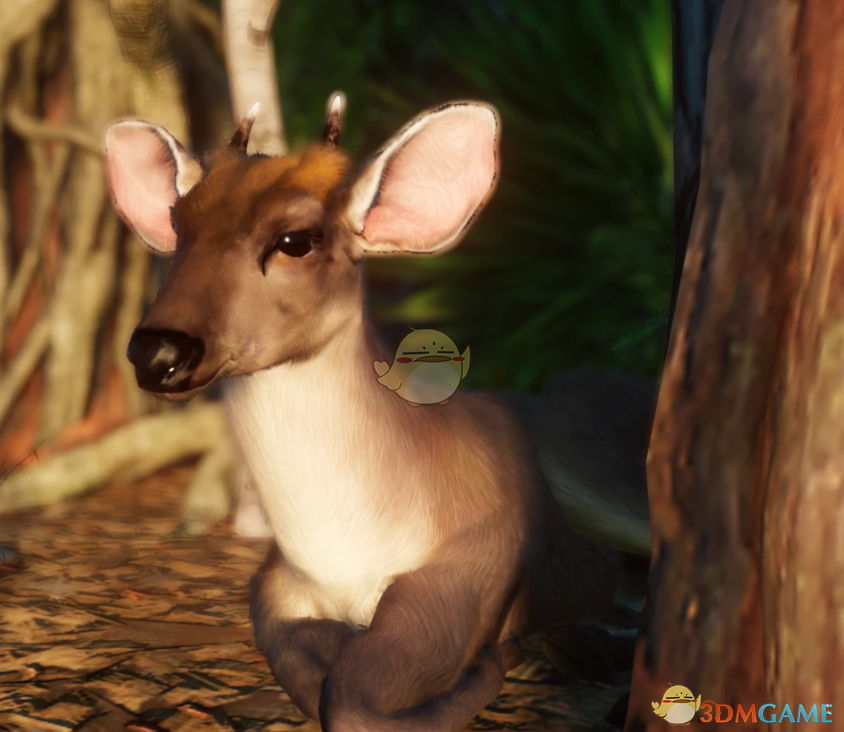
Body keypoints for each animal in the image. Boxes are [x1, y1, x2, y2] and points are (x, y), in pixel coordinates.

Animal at [103, 94, 656, 732]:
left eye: (296, 239)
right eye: (177, 222)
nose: (157, 352)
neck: (343, 550)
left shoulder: (475, 564)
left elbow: (349, 698)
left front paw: (497, 660)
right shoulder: (274, 585)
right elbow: (297, 666)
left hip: (580, 443)